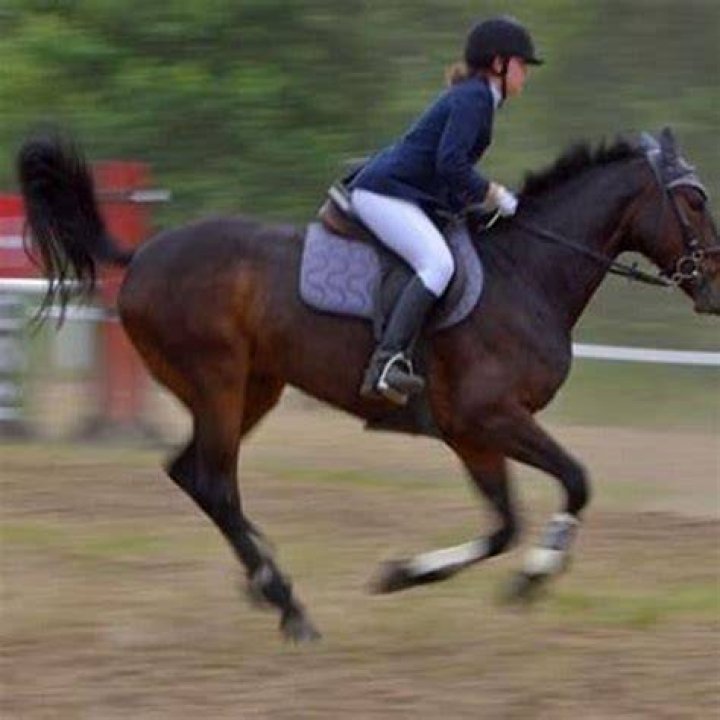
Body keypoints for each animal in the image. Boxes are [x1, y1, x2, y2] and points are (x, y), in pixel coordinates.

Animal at [17, 128, 719, 642]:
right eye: (694, 202)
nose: (713, 288)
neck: (527, 272)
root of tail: (142, 256)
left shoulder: (472, 434)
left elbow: (502, 524)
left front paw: (403, 573)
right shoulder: (490, 416)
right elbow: (575, 482)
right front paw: (536, 575)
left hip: (255, 388)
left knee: (195, 475)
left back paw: (264, 576)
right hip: (219, 382)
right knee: (213, 482)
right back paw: (288, 605)